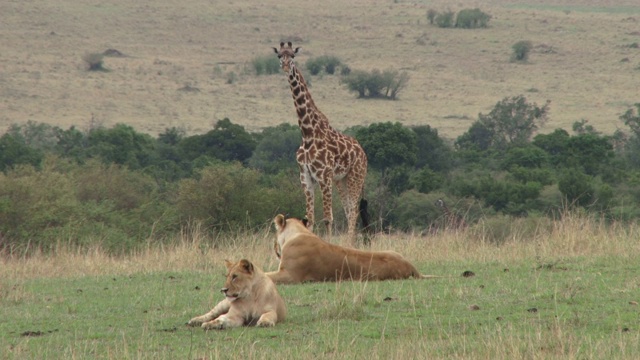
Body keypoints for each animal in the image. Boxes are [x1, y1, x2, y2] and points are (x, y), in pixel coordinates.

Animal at [272, 42, 368, 245]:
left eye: (293, 55)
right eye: (279, 56)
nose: (285, 66)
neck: (308, 133)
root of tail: (363, 154)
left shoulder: (324, 176)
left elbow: (328, 218)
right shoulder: (305, 177)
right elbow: (310, 218)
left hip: (355, 177)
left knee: (354, 211)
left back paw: (349, 245)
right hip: (341, 180)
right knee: (348, 211)